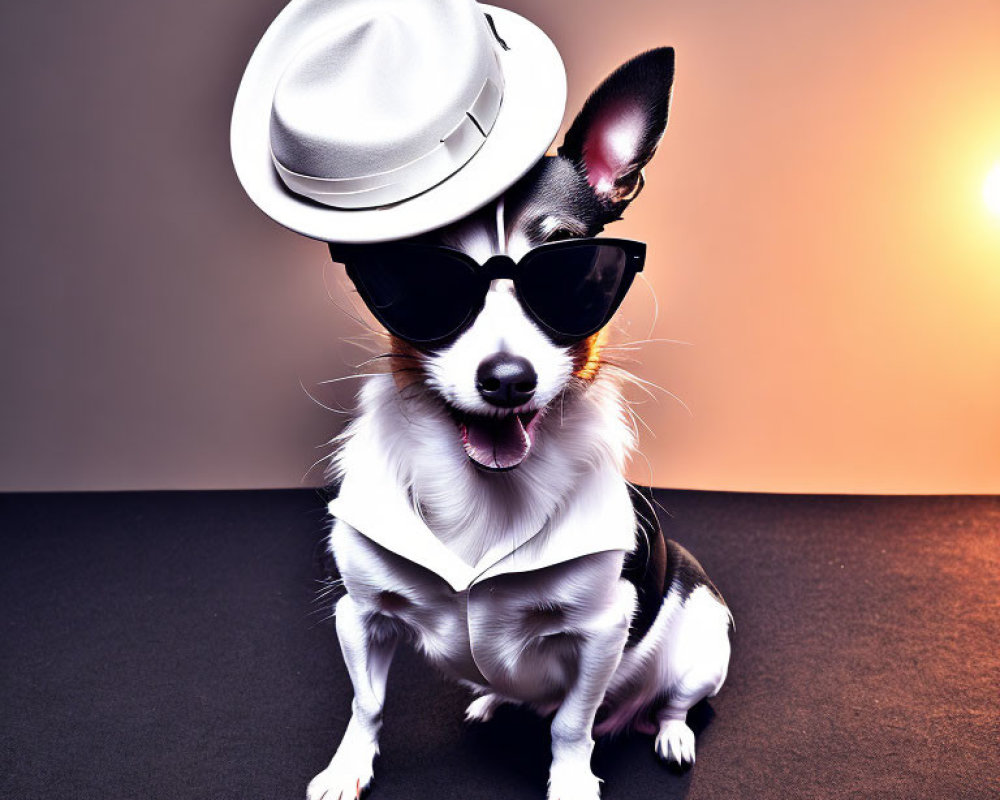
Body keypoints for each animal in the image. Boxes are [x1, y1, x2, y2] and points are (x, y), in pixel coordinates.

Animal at [308, 48, 732, 800]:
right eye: (424, 284)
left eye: (576, 276)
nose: (507, 378)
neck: (484, 495)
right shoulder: (358, 614)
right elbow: (367, 702)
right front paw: (347, 767)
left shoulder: (601, 632)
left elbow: (571, 725)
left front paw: (570, 782)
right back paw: (494, 697)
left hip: (703, 643)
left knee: (672, 702)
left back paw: (671, 733)